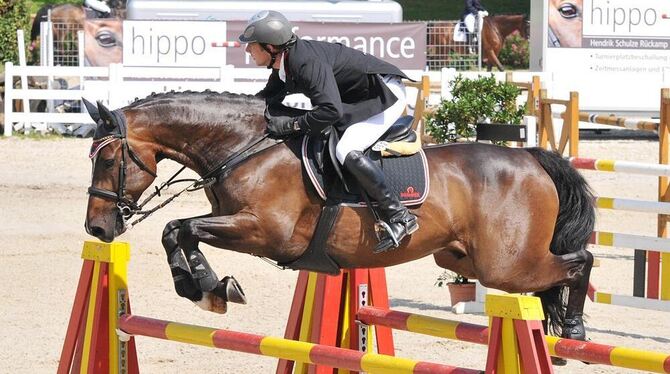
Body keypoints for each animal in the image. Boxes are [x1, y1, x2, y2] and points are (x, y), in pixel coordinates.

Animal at [81, 91, 596, 342]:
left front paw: (208, 288)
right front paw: (206, 288)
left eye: (106, 159)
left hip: (506, 266)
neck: (246, 148)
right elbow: (178, 232)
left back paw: (573, 329)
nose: (97, 228)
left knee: (578, 262)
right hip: (459, 259)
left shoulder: (265, 232)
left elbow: (181, 228)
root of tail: (531, 158)